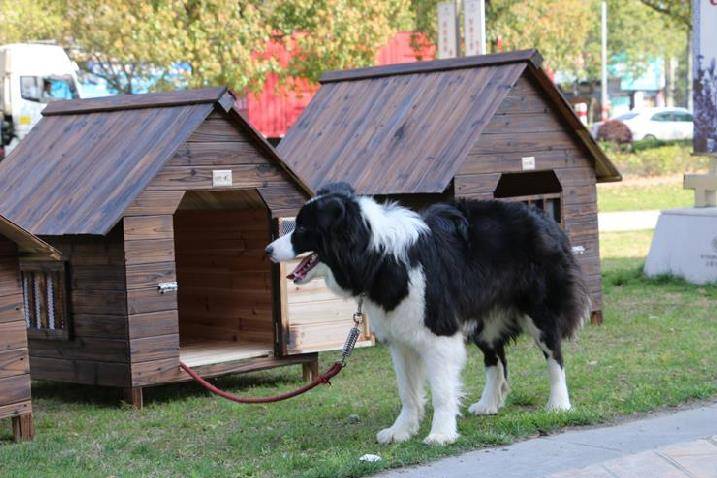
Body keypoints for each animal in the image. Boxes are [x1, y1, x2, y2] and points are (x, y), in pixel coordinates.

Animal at [264, 182, 588, 444]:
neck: (377, 254)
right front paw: (401, 431)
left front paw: (441, 434)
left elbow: (442, 390)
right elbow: (407, 390)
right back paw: (489, 404)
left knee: (554, 353)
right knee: (495, 358)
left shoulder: (439, 331)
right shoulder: (401, 337)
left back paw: (559, 404)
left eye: (302, 229)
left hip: (539, 310)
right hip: (483, 320)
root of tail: (545, 217)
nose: (267, 250)